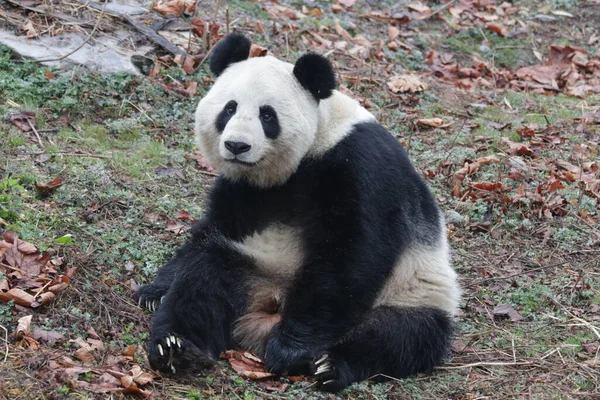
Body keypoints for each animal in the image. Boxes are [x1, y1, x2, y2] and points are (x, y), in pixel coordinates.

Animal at [135, 32, 460, 392]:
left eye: (267, 115)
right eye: (229, 108)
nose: (237, 146)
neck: (317, 142)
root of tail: (267, 309)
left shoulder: (361, 165)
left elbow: (353, 251)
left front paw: (288, 348)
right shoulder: (243, 189)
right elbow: (214, 228)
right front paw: (155, 291)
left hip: (414, 292)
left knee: (397, 336)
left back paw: (329, 364)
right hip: (251, 267)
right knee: (204, 276)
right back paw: (177, 346)